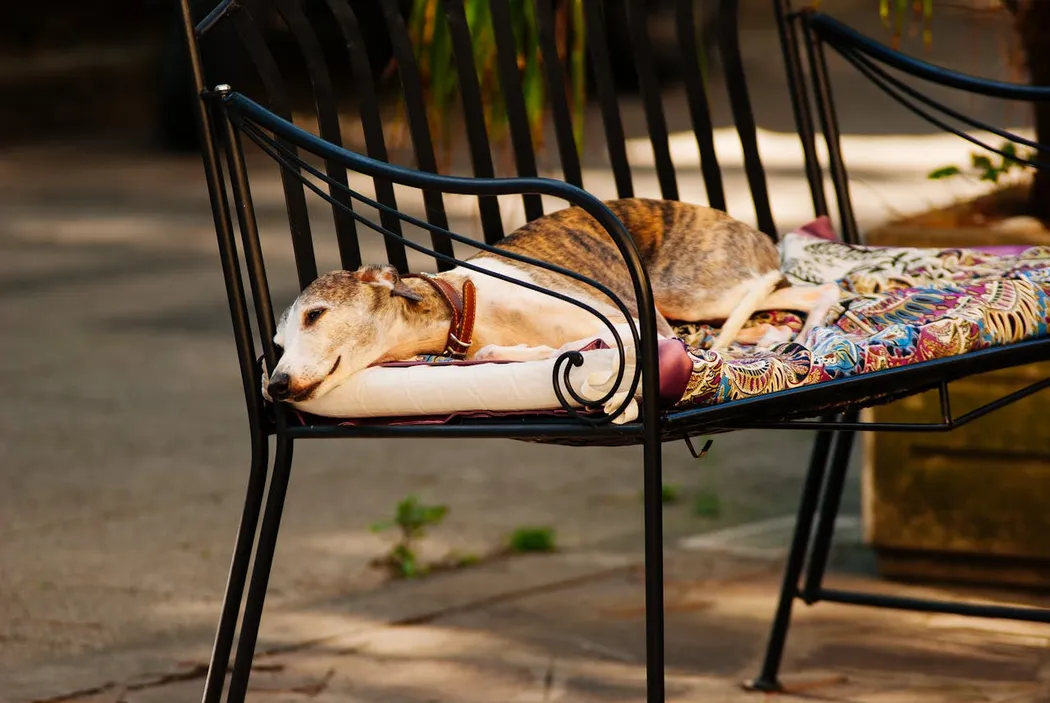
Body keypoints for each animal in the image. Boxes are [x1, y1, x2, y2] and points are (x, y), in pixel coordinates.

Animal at [264, 198, 835, 407]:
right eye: (277, 344)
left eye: (316, 314)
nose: (276, 386)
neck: (464, 305)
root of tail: (755, 233)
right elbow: (509, 353)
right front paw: (525, 353)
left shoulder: (639, 325)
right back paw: (772, 333)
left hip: (692, 291)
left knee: (818, 290)